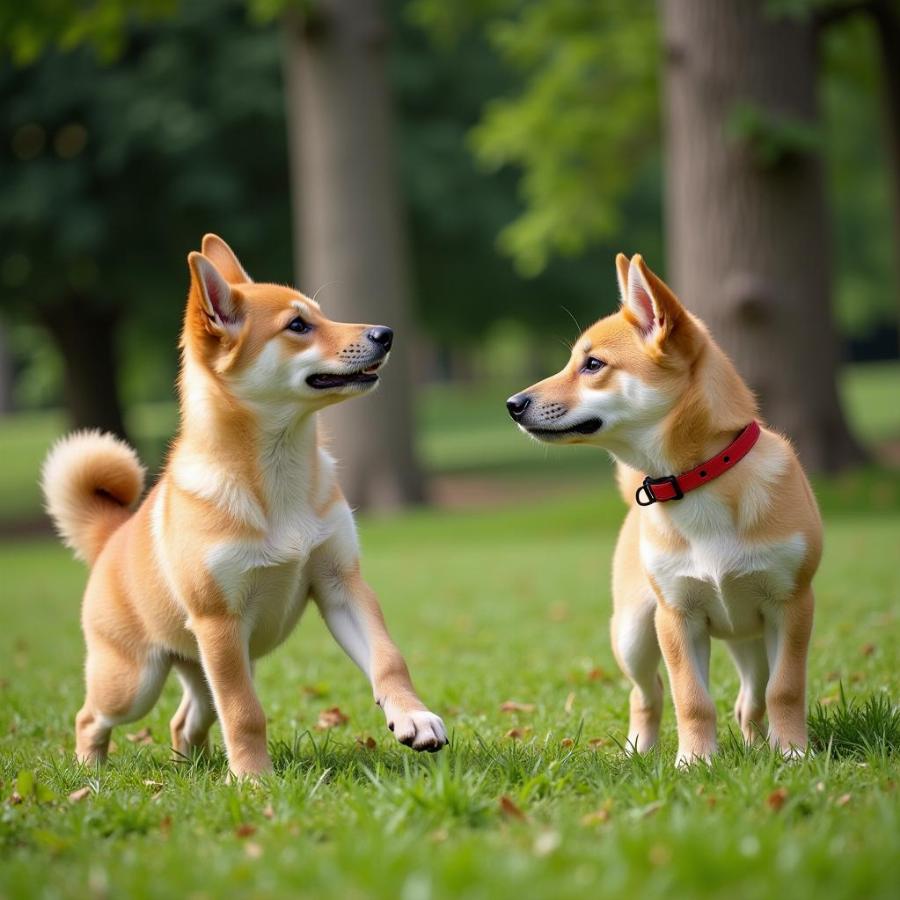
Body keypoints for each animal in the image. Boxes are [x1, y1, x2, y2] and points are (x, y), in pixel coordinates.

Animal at [506, 253, 824, 768]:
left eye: (593, 364)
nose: (513, 404)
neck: (702, 479)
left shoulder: (792, 605)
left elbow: (786, 689)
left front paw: (793, 752)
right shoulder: (676, 616)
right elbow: (690, 698)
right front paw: (695, 762)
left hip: (750, 639)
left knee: (750, 699)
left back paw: (760, 746)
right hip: (633, 633)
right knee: (648, 694)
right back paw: (640, 749)